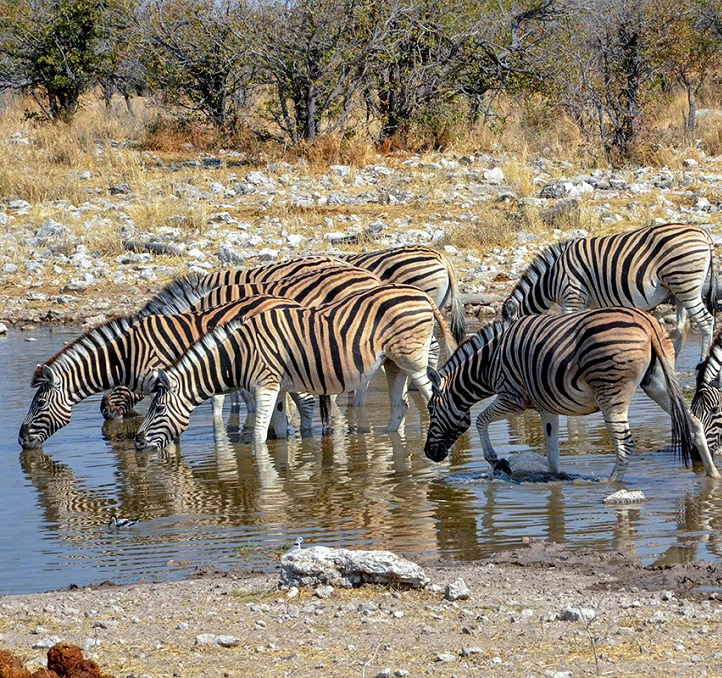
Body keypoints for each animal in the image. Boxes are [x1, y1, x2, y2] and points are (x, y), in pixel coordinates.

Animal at [135, 286, 456, 452]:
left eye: (159, 409)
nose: (137, 441)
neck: (238, 354)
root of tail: (421, 294)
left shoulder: (265, 386)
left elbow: (259, 434)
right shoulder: (278, 389)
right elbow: (277, 428)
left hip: (413, 359)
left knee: (432, 397)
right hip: (393, 362)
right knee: (401, 405)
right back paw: (387, 437)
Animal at [424, 308, 716, 484]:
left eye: (430, 409)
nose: (428, 453)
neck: (488, 363)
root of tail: (646, 321)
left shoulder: (512, 397)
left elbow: (480, 420)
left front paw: (497, 460)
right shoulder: (546, 407)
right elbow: (552, 453)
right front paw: (556, 478)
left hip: (611, 392)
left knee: (625, 443)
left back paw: (610, 483)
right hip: (658, 384)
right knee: (694, 423)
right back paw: (712, 474)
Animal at [500, 224, 716, 362]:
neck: (552, 277)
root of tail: (702, 233)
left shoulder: (572, 297)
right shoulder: (583, 303)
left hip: (685, 284)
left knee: (706, 321)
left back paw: (701, 363)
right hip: (679, 289)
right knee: (682, 327)